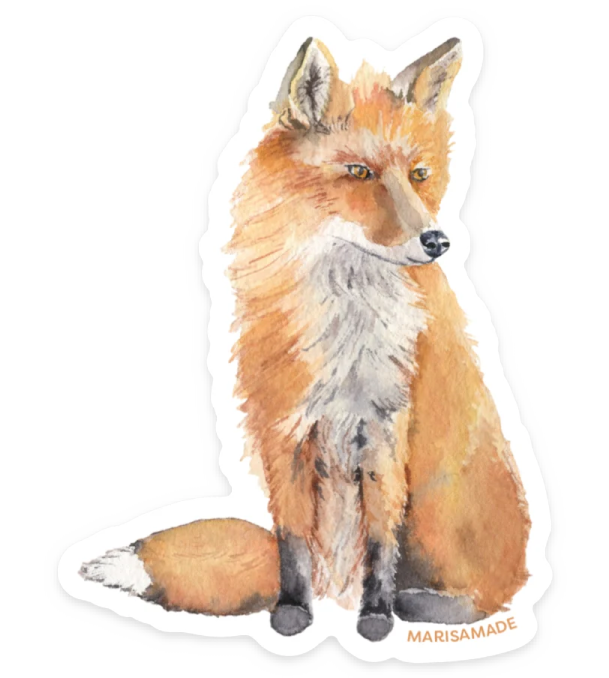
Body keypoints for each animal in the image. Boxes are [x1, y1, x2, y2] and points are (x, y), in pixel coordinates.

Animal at [81, 37, 531, 642]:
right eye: (359, 172)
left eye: (418, 174)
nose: (437, 241)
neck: (346, 324)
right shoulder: (284, 430)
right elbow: (290, 540)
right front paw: (291, 613)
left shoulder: (385, 430)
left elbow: (380, 541)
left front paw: (376, 617)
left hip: (449, 515)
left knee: (483, 594)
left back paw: (422, 603)